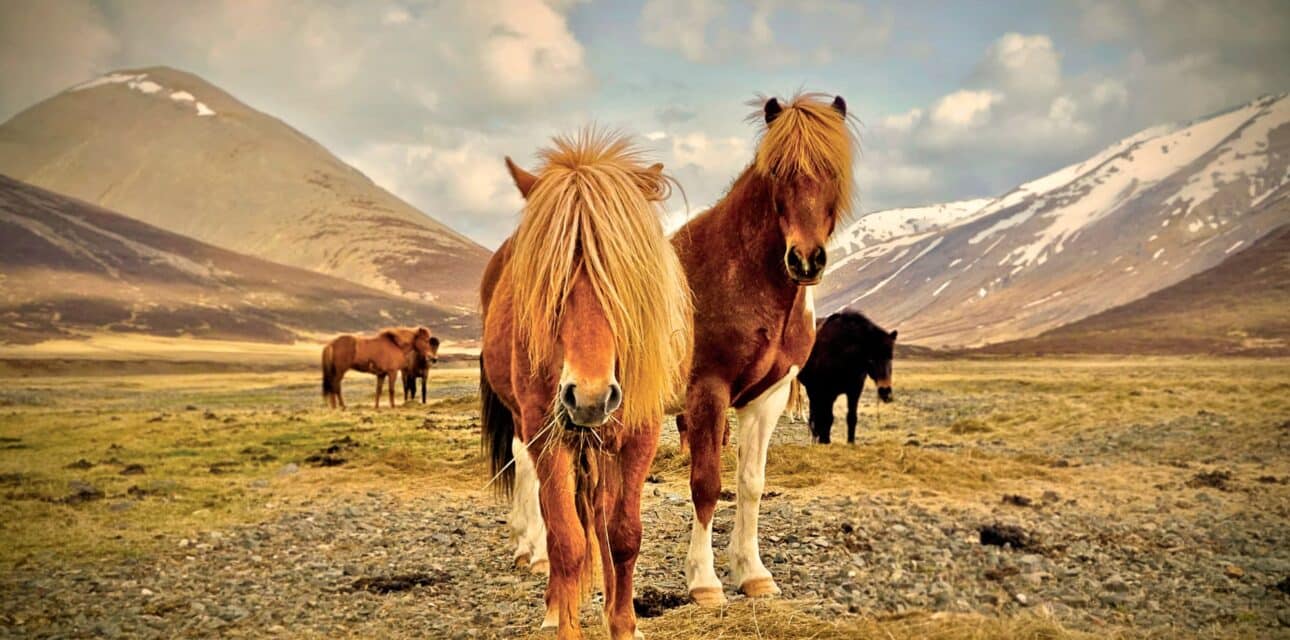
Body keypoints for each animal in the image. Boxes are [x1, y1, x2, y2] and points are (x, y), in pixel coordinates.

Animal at [479, 130, 691, 640]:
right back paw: (556, 604)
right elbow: (567, 540)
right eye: (549, 282)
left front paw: (623, 622)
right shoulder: (547, 434)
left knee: (600, 513)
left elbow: (624, 535)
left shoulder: (639, 434)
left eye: (626, 277)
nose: (590, 397)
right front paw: (566, 618)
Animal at [665, 90, 856, 603]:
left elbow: (751, 483)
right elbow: (706, 484)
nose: (806, 260)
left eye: (835, 170)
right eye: (777, 173)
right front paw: (704, 581)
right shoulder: (707, 392)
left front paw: (751, 572)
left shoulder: (767, 397)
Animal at [794, 310, 897, 443]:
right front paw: (825, 441)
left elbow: (851, 418)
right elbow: (827, 418)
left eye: (890, 357)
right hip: (813, 390)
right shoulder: (827, 392)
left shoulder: (854, 391)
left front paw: (850, 442)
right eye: (871, 359)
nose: (886, 392)